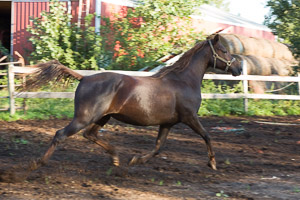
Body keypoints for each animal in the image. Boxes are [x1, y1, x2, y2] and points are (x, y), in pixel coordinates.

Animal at [0, 34, 240, 183]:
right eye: (223, 50)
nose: (237, 69)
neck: (183, 81)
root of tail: (83, 78)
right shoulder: (190, 117)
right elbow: (207, 135)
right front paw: (213, 164)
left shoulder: (167, 123)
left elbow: (158, 148)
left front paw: (132, 161)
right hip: (85, 117)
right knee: (61, 134)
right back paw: (32, 167)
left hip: (102, 118)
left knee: (90, 135)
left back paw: (115, 159)